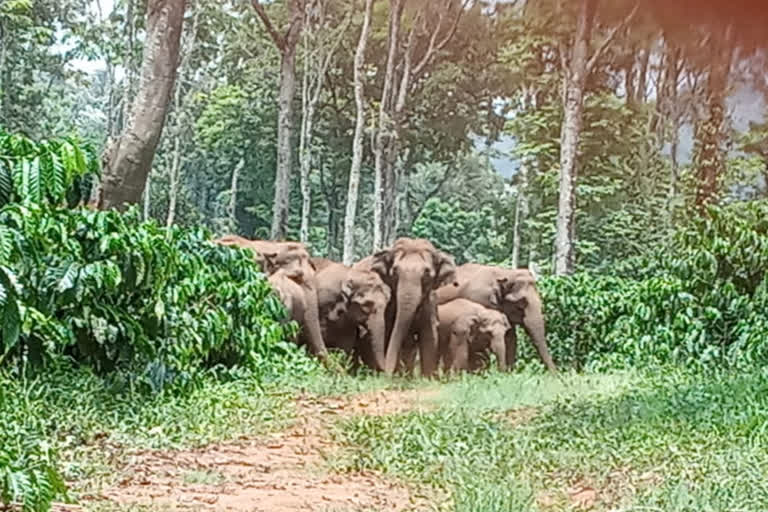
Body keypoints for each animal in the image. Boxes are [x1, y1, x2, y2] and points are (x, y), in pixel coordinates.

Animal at [358, 237, 460, 376]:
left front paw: (427, 378)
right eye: (395, 271)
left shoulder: (430, 302)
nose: (386, 372)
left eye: (427, 273)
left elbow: (429, 336)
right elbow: (390, 333)